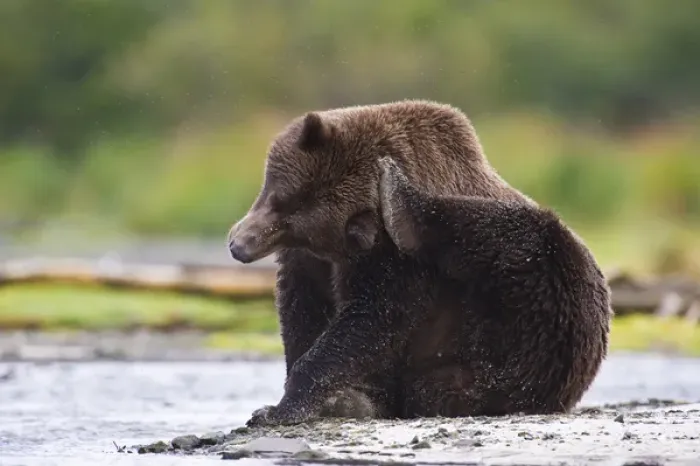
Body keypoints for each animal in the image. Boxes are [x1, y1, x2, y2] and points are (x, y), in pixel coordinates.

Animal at [227, 99, 559, 426]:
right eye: (276, 198)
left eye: (289, 224)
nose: (240, 246)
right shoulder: (310, 262)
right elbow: (301, 307)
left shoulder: (394, 257)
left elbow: (370, 321)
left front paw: (284, 407)